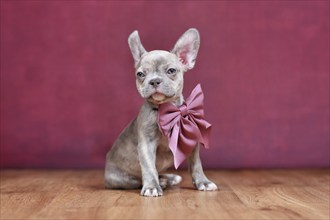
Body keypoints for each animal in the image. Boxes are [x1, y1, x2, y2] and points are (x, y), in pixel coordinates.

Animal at [104, 28, 218, 197]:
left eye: (171, 70)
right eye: (140, 74)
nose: (154, 80)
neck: (167, 110)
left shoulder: (191, 142)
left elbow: (196, 164)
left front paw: (203, 182)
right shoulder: (147, 144)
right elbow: (149, 167)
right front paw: (152, 187)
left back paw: (168, 178)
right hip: (119, 179)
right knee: (138, 181)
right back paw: (162, 182)